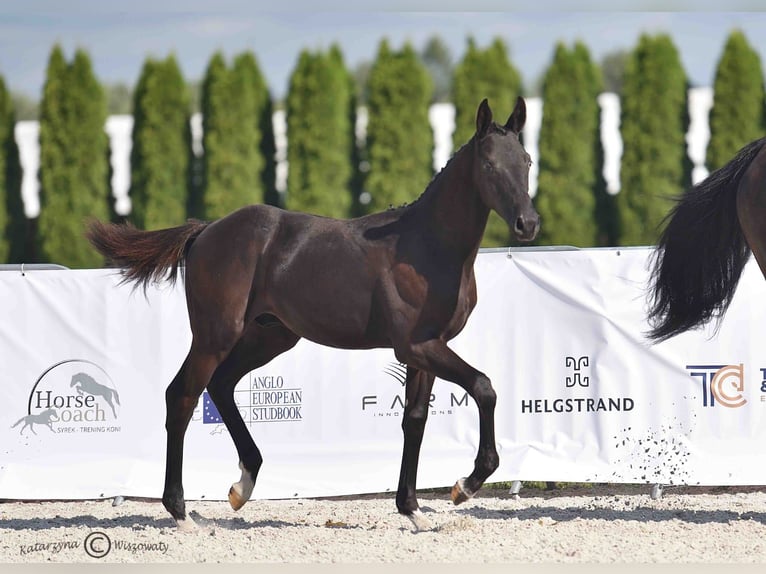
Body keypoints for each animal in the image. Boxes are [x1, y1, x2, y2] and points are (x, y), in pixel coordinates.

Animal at [86, 97, 540, 532]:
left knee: (221, 384)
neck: (427, 246)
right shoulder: (417, 345)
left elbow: (415, 421)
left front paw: (413, 511)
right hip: (216, 335)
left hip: (270, 336)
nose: (528, 223)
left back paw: (242, 486)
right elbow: (484, 388)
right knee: (182, 396)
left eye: (527, 161)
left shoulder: (425, 348)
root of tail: (205, 232)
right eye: (489, 164)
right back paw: (182, 513)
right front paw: (465, 485)